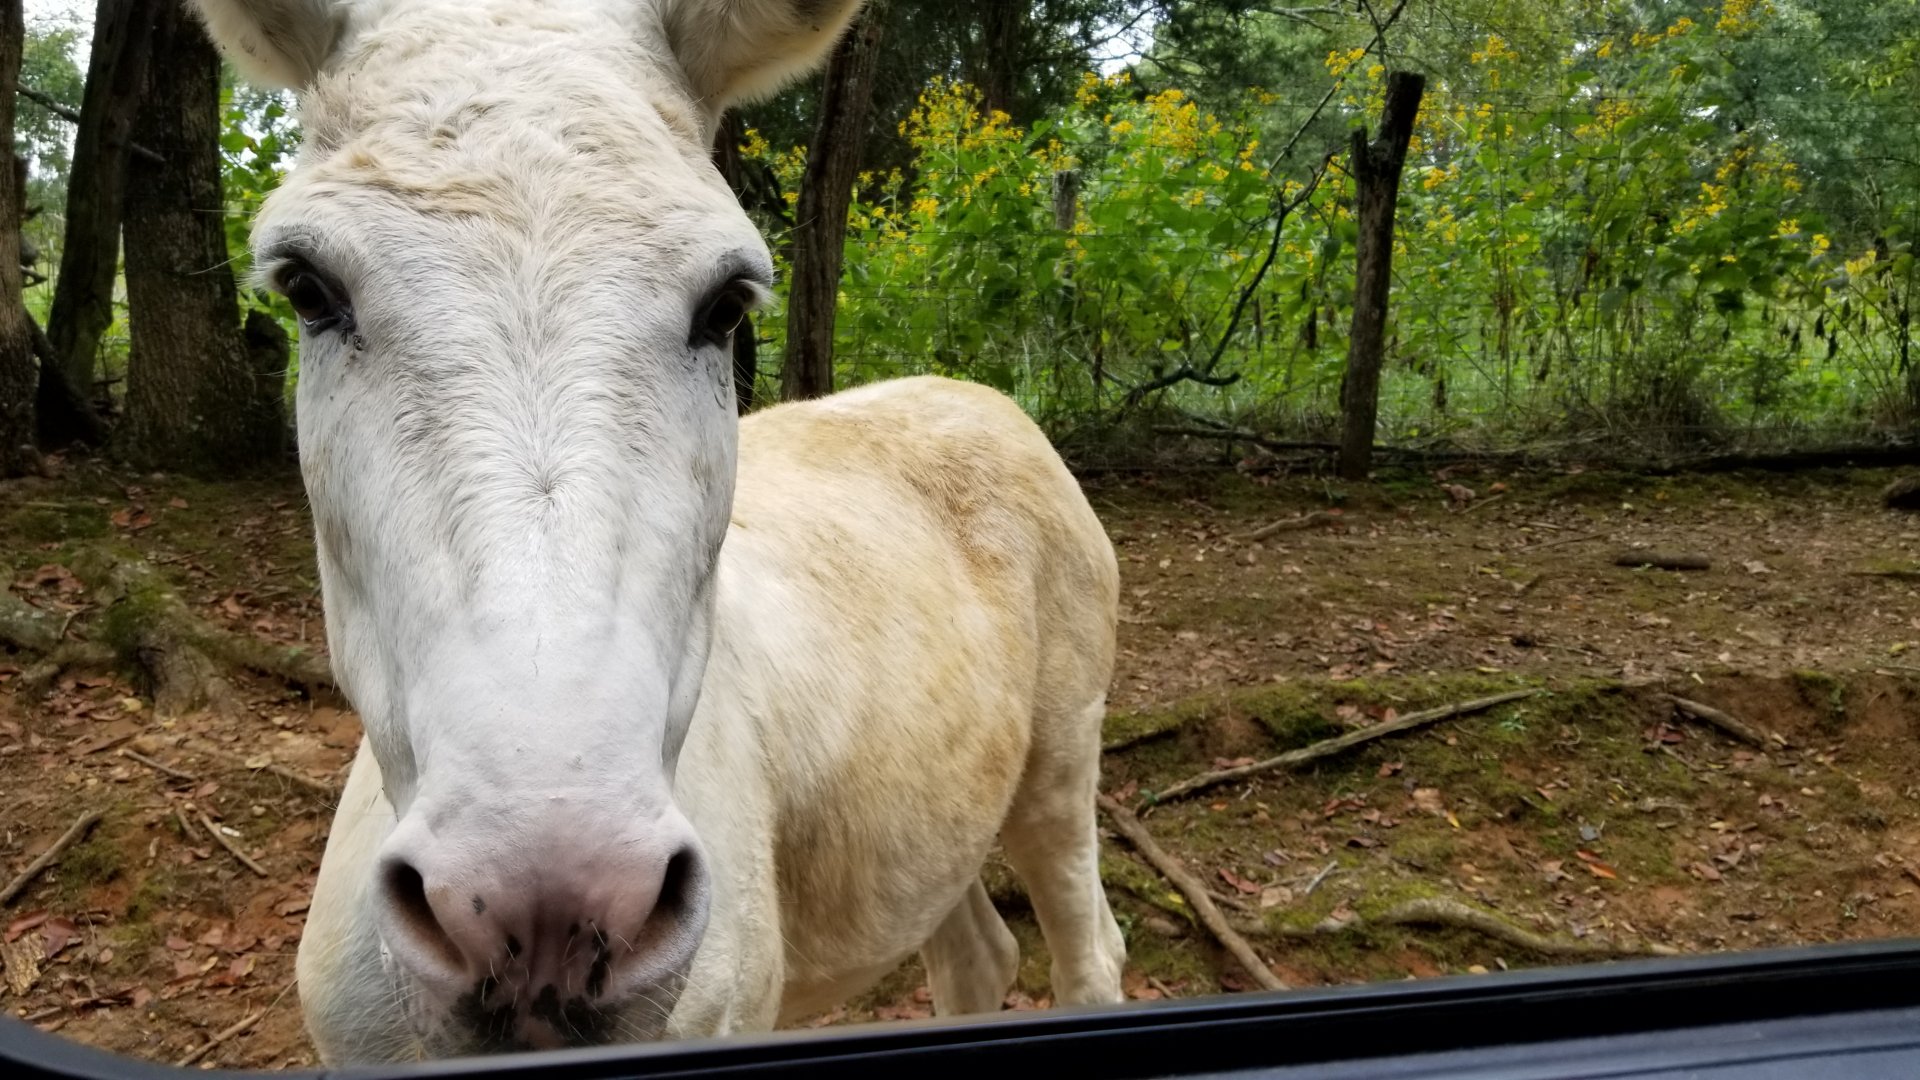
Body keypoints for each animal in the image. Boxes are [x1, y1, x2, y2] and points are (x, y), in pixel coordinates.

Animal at [188, 0, 1127, 1062]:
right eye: (307, 288)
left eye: (727, 303)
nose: (546, 917)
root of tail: (980, 399)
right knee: (976, 955)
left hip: (1061, 753)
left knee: (1089, 948)